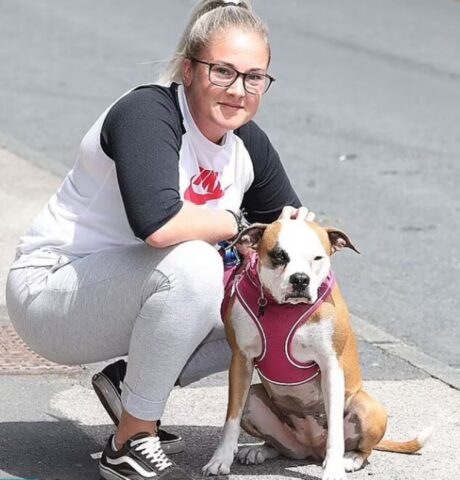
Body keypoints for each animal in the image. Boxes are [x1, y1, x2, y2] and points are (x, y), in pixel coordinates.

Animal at [203, 218, 430, 480]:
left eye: (318, 257)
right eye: (279, 255)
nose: (300, 279)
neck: (283, 309)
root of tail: (311, 449)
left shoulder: (331, 367)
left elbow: (335, 431)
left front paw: (334, 469)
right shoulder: (241, 361)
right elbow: (232, 418)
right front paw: (220, 459)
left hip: (368, 407)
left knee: (365, 449)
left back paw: (351, 458)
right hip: (254, 399)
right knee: (278, 445)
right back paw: (260, 450)